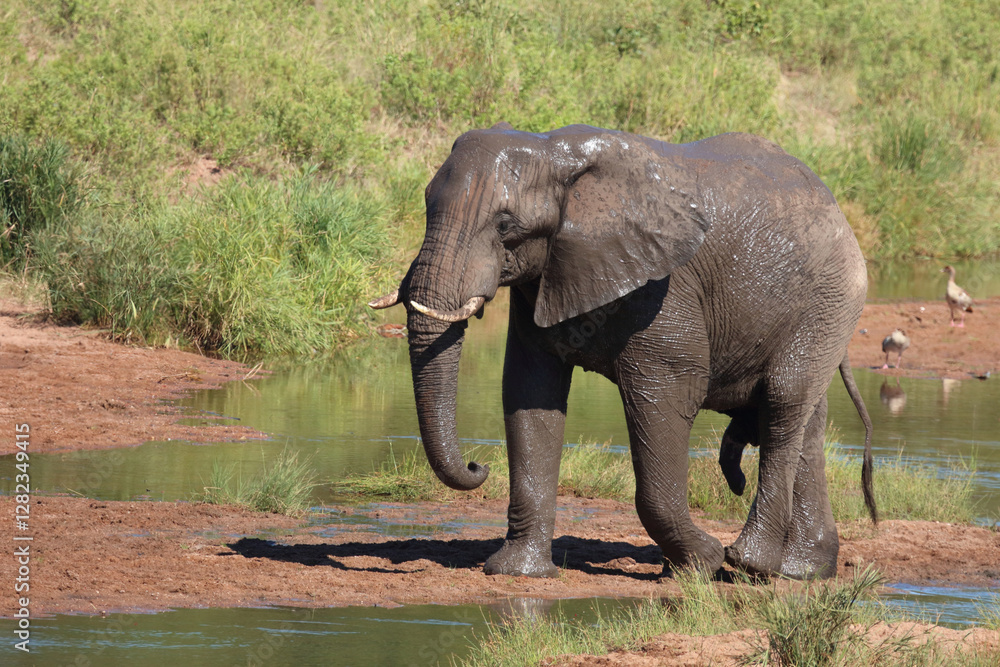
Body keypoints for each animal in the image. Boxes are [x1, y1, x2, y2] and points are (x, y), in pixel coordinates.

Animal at [369, 123, 876, 581]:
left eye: (505, 225)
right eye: (426, 205)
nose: (479, 464)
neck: (553, 152)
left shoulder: (664, 288)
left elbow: (669, 392)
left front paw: (702, 563)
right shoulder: (545, 276)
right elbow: (530, 393)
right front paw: (517, 574)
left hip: (829, 298)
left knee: (785, 403)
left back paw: (748, 564)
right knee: (805, 419)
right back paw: (802, 572)